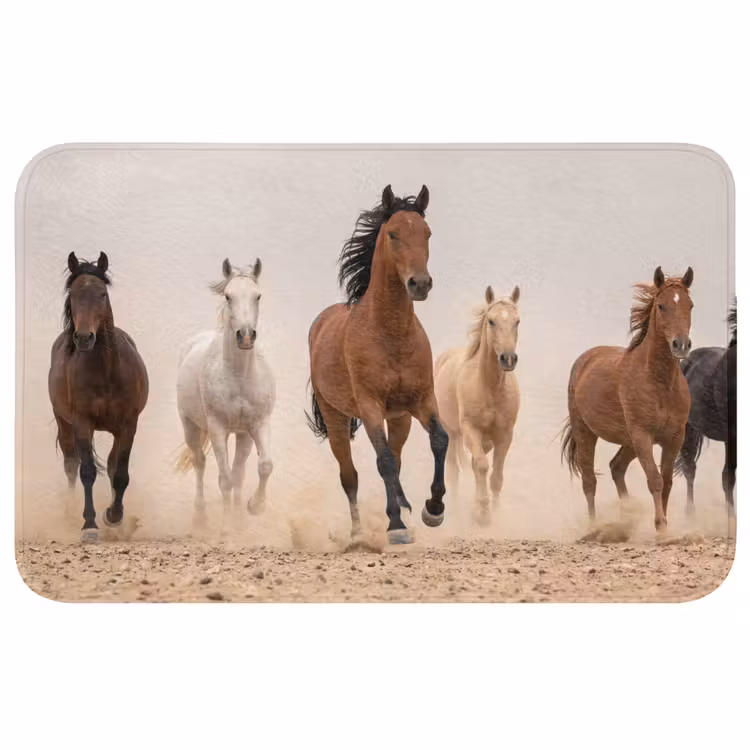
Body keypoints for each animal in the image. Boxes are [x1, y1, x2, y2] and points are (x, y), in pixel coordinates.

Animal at [48, 252, 149, 542]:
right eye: (72, 294)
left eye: (102, 293)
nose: (84, 337)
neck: (106, 370)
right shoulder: (82, 423)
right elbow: (87, 471)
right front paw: (89, 525)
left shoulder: (128, 425)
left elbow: (121, 473)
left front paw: (114, 517)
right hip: (64, 423)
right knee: (72, 465)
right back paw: (70, 513)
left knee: (113, 465)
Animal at [176, 258, 275, 515]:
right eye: (229, 296)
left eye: (258, 296)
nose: (246, 336)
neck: (238, 377)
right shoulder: (218, 429)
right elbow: (225, 480)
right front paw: (227, 521)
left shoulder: (255, 426)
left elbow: (263, 466)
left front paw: (253, 507)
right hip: (190, 426)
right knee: (200, 461)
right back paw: (201, 515)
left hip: (240, 435)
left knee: (237, 472)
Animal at [306, 184, 448, 545]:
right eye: (394, 234)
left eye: (427, 233)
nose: (420, 284)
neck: (390, 332)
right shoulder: (369, 405)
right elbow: (381, 461)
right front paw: (396, 526)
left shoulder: (421, 401)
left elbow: (439, 440)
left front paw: (433, 510)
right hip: (337, 419)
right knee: (350, 475)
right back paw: (359, 534)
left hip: (399, 419)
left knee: (396, 460)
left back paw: (406, 509)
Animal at [434, 285, 521, 526]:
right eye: (491, 321)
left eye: (517, 321)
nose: (508, 358)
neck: (489, 387)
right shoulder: (470, 430)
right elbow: (481, 466)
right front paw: (482, 512)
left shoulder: (504, 435)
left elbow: (496, 477)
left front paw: (495, 510)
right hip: (452, 433)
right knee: (453, 470)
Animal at [561, 266, 694, 533]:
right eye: (661, 306)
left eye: (690, 305)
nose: (681, 345)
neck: (659, 383)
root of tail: (585, 359)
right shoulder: (643, 435)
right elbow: (654, 480)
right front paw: (661, 528)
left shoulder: (674, 438)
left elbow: (666, 481)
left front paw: (665, 527)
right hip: (586, 433)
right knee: (589, 481)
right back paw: (594, 527)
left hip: (628, 441)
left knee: (616, 467)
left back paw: (626, 517)